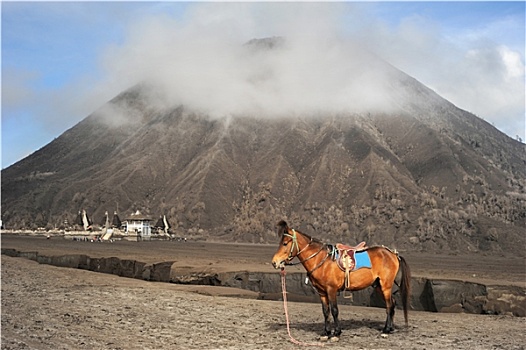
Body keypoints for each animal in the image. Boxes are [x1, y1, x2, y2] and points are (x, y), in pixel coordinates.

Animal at [272, 221, 412, 340]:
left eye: (285, 243)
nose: (275, 262)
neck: (322, 260)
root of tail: (393, 254)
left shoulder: (331, 290)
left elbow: (334, 311)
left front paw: (336, 333)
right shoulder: (322, 292)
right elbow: (325, 311)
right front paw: (326, 333)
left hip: (385, 286)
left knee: (389, 306)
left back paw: (386, 330)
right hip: (378, 286)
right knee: (392, 303)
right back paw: (391, 328)